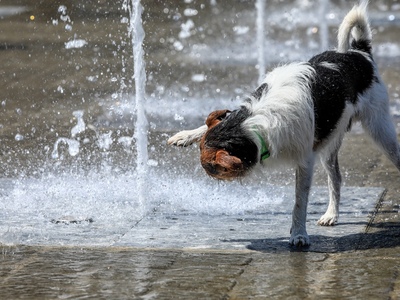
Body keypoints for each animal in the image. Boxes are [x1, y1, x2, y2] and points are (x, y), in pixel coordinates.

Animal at [166, 1, 400, 246]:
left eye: (213, 168)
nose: (208, 177)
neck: (255, 123)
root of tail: (358, 52)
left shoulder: (305, 161)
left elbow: (299, 202)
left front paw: (299, 233)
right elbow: (211, 122)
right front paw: (185, 135)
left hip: (381, 130)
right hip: (330, 140)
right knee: (335, 178)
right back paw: (331, 215)